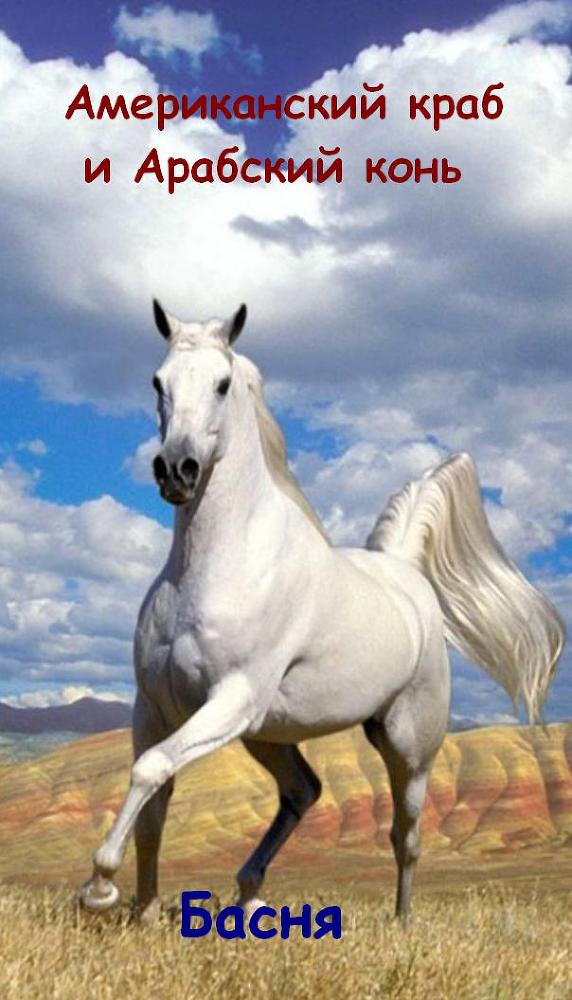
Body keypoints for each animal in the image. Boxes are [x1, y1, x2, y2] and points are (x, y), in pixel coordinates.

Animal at [79, 300, 565, 925]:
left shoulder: (231, 697)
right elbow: (154, 802)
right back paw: (250, 892)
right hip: (267, 733)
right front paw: (143, 913)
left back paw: (401, 922)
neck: (212, 568)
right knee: (303, 790)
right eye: (157, 381)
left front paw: (99, 887)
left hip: (407, 745)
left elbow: (151, 770)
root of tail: (404, 572)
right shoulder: (157, 706)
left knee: (405, 835)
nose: (176, 470)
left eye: (222, 383)